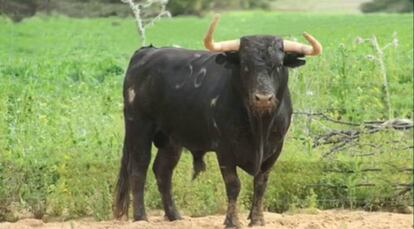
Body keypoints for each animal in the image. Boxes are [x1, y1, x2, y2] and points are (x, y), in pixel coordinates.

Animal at [113, 35, 308, 227]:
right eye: (245, 66)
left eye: (278, 65)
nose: (263, 98)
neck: (258, 126)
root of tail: (147, 51)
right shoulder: (225, 150)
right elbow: (233, 185)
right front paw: (232, 221)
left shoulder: (275, 149)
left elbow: (260, 183)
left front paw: (257, 220)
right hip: (138, 128)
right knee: (139, 169)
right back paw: (141, 218)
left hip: (171, 139)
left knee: (162, 171)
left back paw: (175, 216)